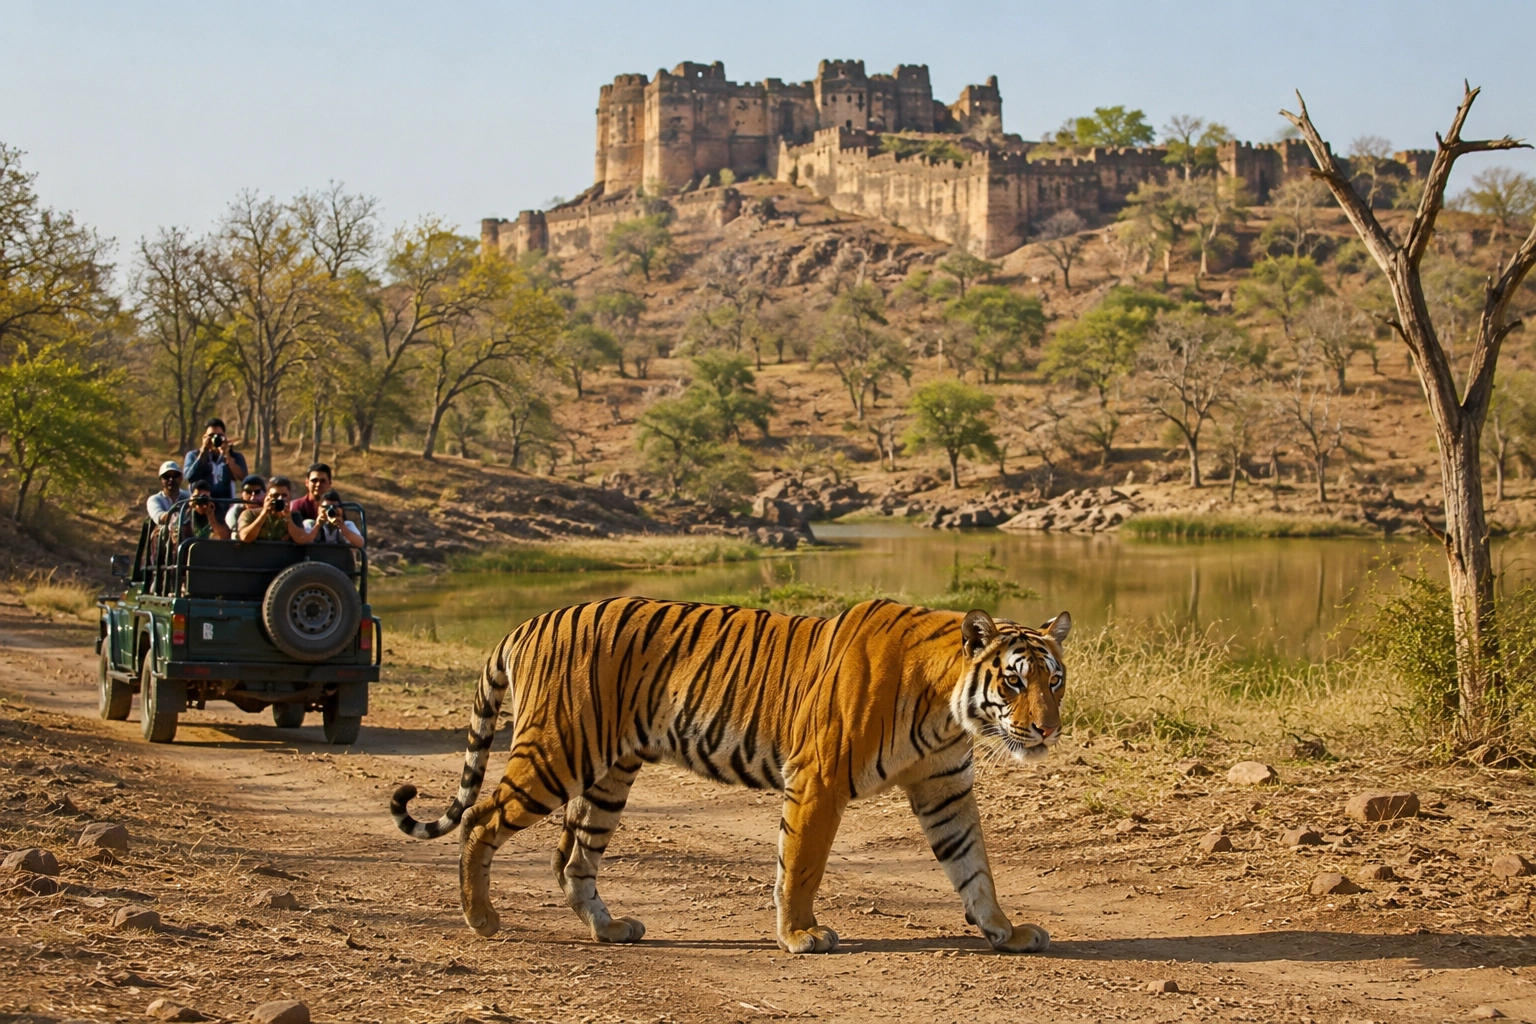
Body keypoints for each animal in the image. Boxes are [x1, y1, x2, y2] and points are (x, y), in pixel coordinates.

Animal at [390, 597, 1070, 954]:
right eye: (1015, 681)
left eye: (1055, 679)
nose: (1046, 731)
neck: (947, 711)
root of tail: (528, 622)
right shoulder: (819, 780)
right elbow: (801, 864)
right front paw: (800, 935)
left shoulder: (945, 789)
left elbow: (974, 865)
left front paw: (1004, 930)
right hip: (556, 753)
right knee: (481, 819)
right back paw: (481, 919)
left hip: (608, 775)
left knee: (573, 860)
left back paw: (610, 929)